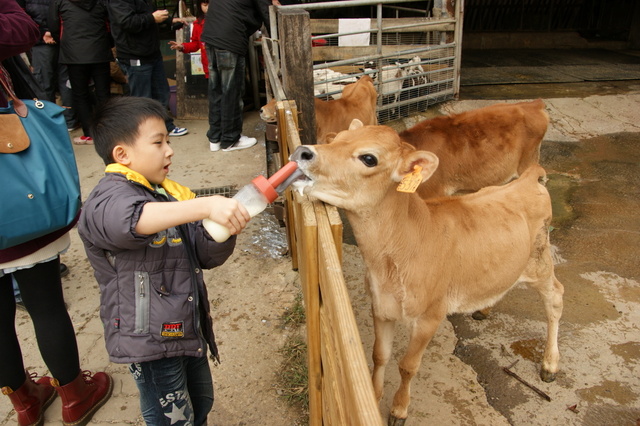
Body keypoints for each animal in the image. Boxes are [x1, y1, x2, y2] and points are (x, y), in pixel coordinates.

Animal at [292, 120, 564, 426]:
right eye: (337, 138)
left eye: (369, 158)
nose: (303, 152)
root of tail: (529, 179)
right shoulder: (381, 306)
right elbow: (379, 355)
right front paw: (374, 395)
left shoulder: (431, 315)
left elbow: (408, 365)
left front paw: (399, 409)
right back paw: (484, 309)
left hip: (540, 262)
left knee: (556, 298)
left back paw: (550, 364)